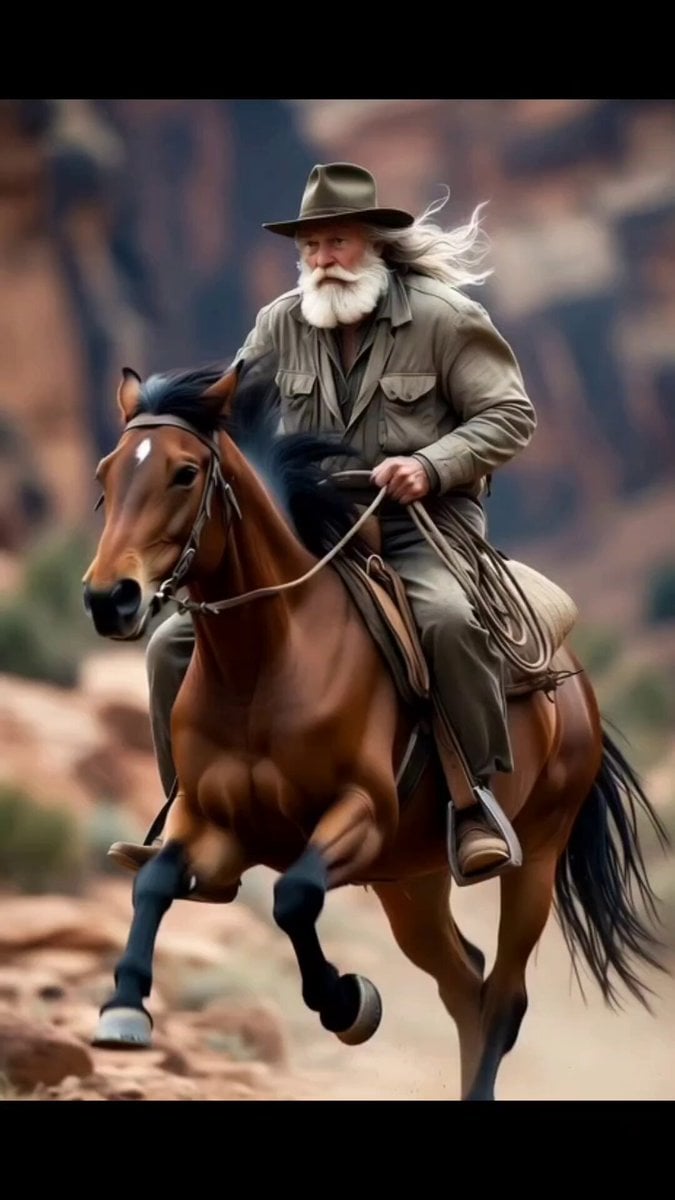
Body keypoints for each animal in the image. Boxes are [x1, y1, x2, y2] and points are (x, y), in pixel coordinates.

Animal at [82, 353, 670, 1101]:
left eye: (185, 473)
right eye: (106, 474)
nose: (110, 599)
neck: (266, 661)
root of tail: (578, 685)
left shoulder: (358, 814)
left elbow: (294, 898)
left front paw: (346, 1002)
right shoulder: (211, 825)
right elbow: (153, 883)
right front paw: (122, 1009)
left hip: (533, 858)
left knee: (503, 996)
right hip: (409, 883)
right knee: (464, 983)